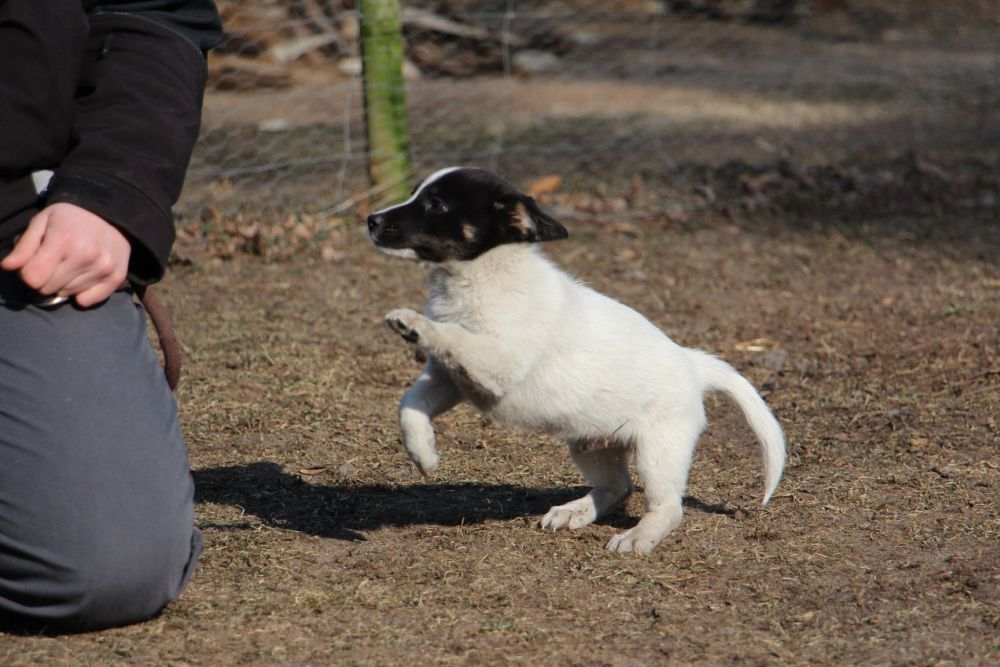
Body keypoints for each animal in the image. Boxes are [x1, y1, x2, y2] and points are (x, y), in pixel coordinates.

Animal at [368, 167, 785, 553]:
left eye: (436, 204)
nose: (371, 220)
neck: (479, 276)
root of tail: (693, 364)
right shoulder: (450, 379)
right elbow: (410, 404)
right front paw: (423, 453)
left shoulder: (497, 364)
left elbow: (451, 336)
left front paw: (413, 323)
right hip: (591, 442)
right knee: (618, 486)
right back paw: (575, 511)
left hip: (659, 449)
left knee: (667, 506)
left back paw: (638, 537)